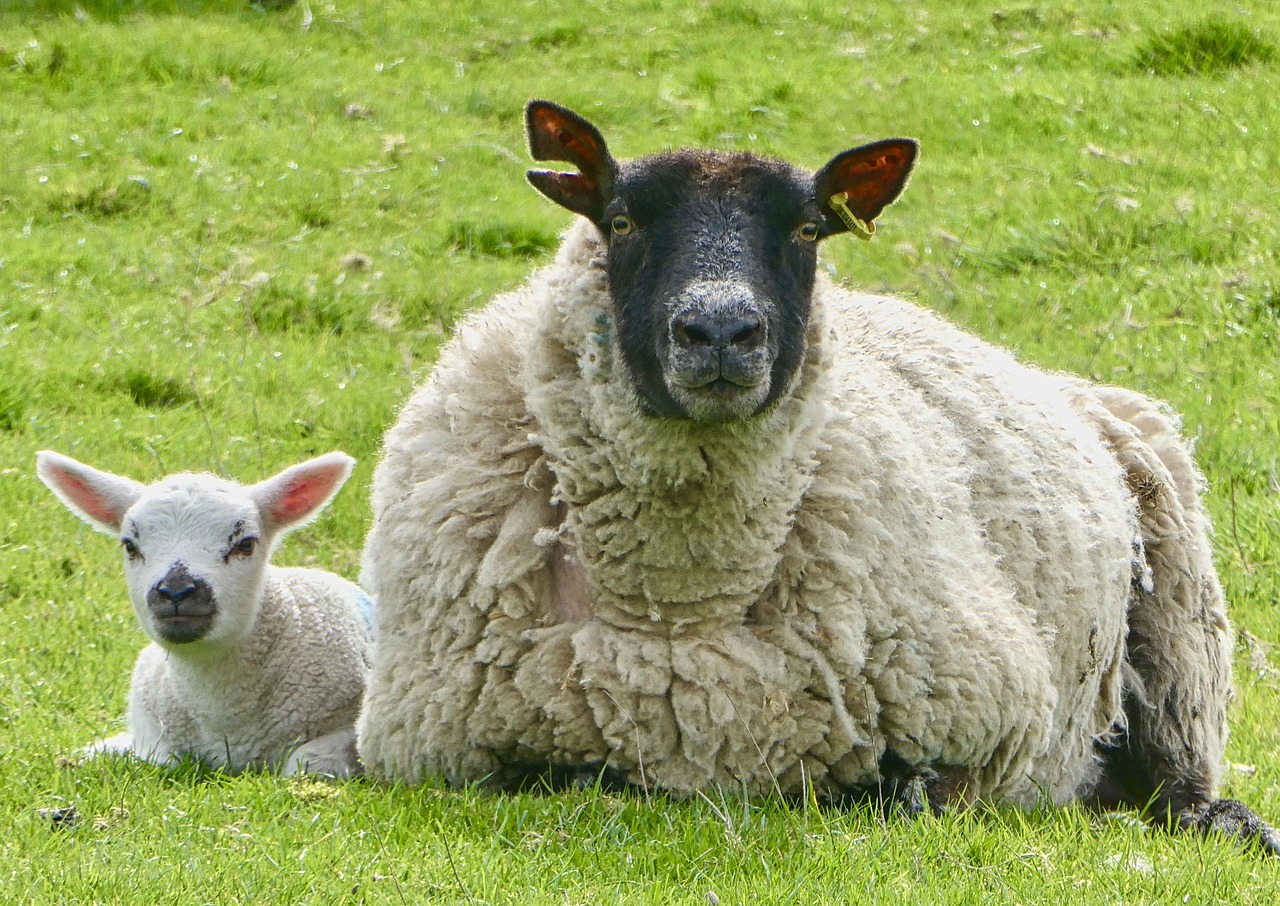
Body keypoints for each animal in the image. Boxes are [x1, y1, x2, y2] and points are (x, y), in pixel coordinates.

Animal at [37, 450, 373, 778]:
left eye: (245, 544)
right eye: (130, 546)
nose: (176, 591)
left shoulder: (350, 726)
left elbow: (306, 762)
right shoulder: (151, 731)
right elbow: (160, 759)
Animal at [356, 99, 1278, 852]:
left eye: (807, 229)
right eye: (618, 220)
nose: (720, 331)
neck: (676, 607)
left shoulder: (990, 722)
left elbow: (912, 793)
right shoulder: (444, 747)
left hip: (1179, 629)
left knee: (1176, 781)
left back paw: (1233, 825)